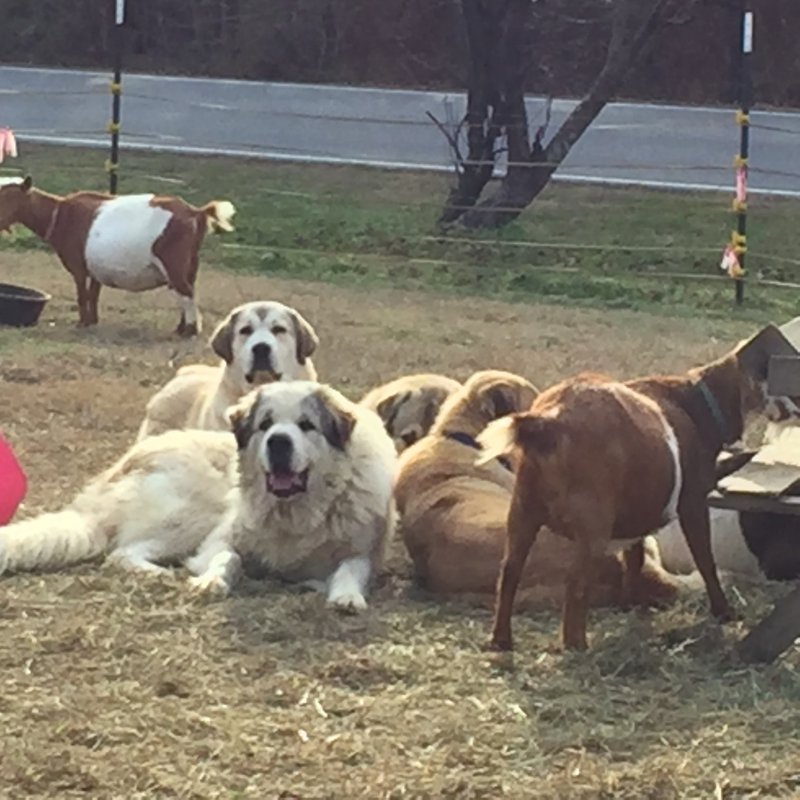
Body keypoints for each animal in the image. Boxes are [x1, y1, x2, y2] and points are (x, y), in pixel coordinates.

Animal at [0, 177, 236, 336]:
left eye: (6, 196)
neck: (59, 214)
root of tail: (195, 212)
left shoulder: (78, 265)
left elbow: (82, 294)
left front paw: (81, 323)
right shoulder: (96, 267)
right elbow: (93, 293)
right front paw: (92, 322)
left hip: (173, 261)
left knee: (185, 291)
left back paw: (189, 331)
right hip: (191, 262)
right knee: (187, 291)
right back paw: (180, 328)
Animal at [0, 382, 396, 612]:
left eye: (306, 425)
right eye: (266, 424)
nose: (278, 443)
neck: (297, 511)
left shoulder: (363, 551)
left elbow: (350, 569)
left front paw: (345, 595)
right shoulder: (219, 538)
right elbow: (226, 559)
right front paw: (211, 581)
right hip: (194, 512)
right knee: (121, 553)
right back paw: (160, 573)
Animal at [482, 324, 800, 648]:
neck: (696, 401)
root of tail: (549, 421)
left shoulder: (635, 518)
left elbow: (633, 560)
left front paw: (632, 607)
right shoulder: (693, 502)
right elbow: (705, 559)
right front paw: (724, 612)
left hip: (523, 511)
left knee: (509, 572)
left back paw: (501, 640)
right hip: (592, 527)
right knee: (576, 584)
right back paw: (577, 645)